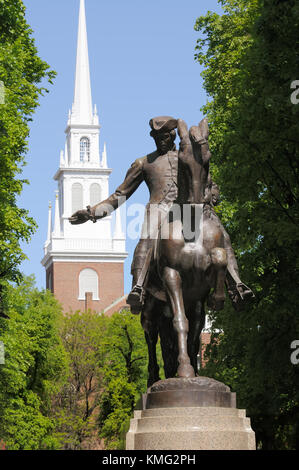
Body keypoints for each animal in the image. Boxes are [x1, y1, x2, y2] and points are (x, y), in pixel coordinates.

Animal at [141, 117, 227, 386]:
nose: (198, 202)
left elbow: (219, 257)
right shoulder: (171, 275)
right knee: (152, 340)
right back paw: (155, 378)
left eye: (208, 159)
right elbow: (181, 323)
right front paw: (186, 370)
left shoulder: (201, 285)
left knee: (193, 333)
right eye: (183, 161)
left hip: (192, 306)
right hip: (151, 311)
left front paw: (219, 298)